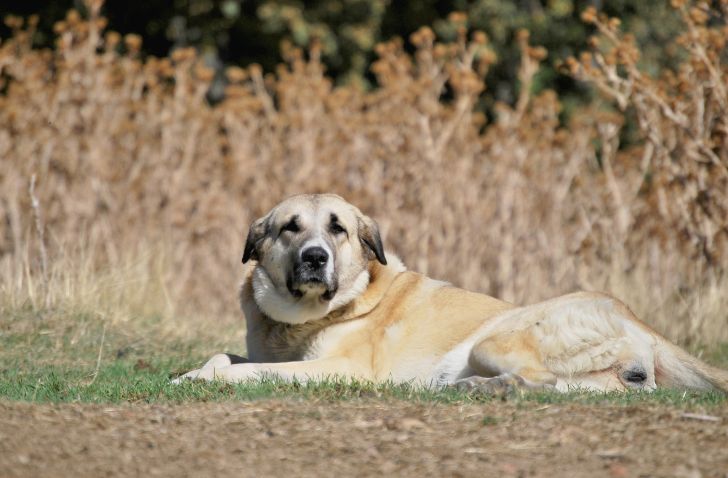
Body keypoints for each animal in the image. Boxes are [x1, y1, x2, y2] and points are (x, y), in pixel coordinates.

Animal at [175, 192, 728, 394]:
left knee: (538, 381)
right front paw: (189, 372)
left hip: (494, 341)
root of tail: (633, 315)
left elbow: (248, 371)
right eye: (291, 227)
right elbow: (224, 356)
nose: (315, 257)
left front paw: (204, 378)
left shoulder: (342, 369)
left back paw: (473, 387)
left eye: (338, 230)